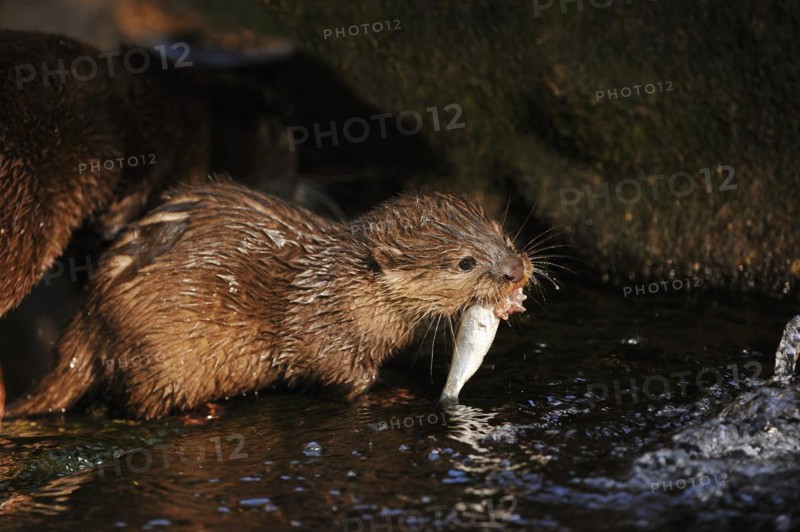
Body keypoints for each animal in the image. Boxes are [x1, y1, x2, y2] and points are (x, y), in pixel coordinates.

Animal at [3, 181, 532, 420]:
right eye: (465, 262)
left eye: (502, 233)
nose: (515, 270)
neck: (342, 290)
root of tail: (89, 314)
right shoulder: (325, 332)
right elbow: (342, 377)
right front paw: (391, 392)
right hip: (158, 350)